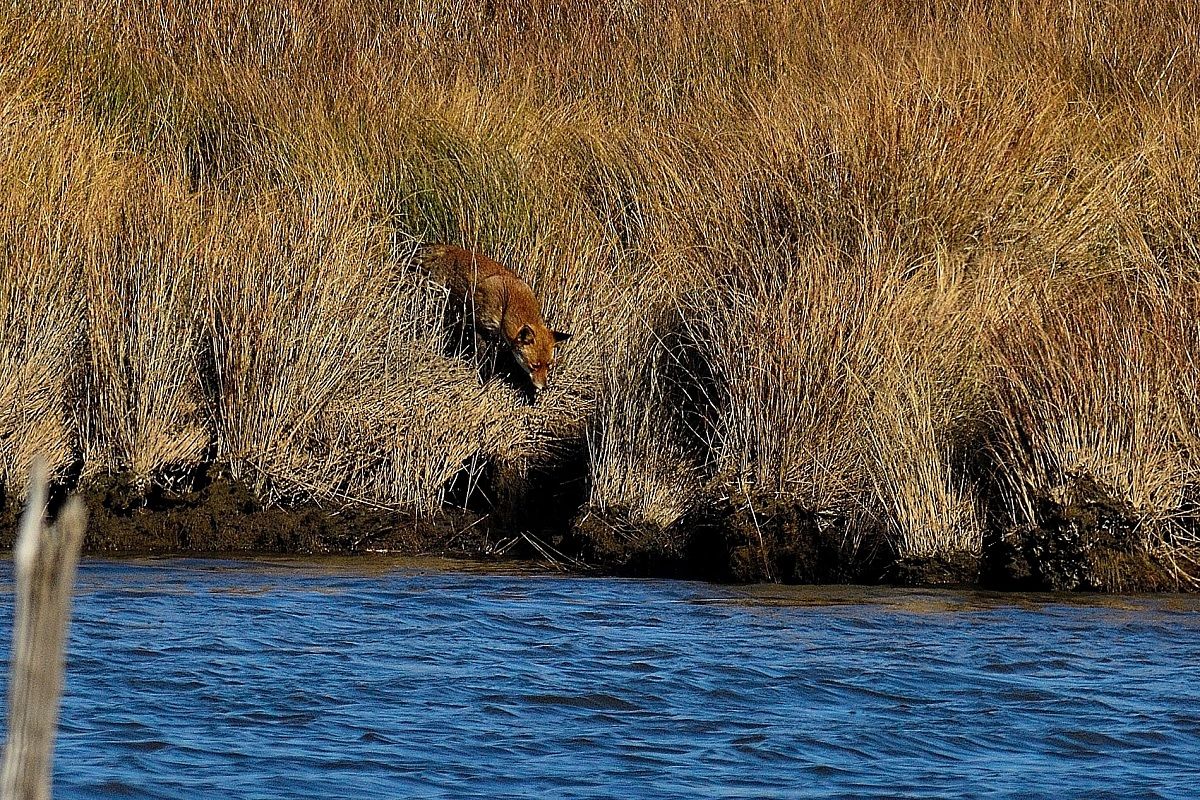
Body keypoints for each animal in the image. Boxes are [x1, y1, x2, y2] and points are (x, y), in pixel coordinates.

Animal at [416, 243, 572, 392]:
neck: (507, 301)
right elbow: (484, 359)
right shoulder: (480, 327)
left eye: (549, 366)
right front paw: (484, 381)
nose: (545, 387)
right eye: (534, 366)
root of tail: (447, 248)